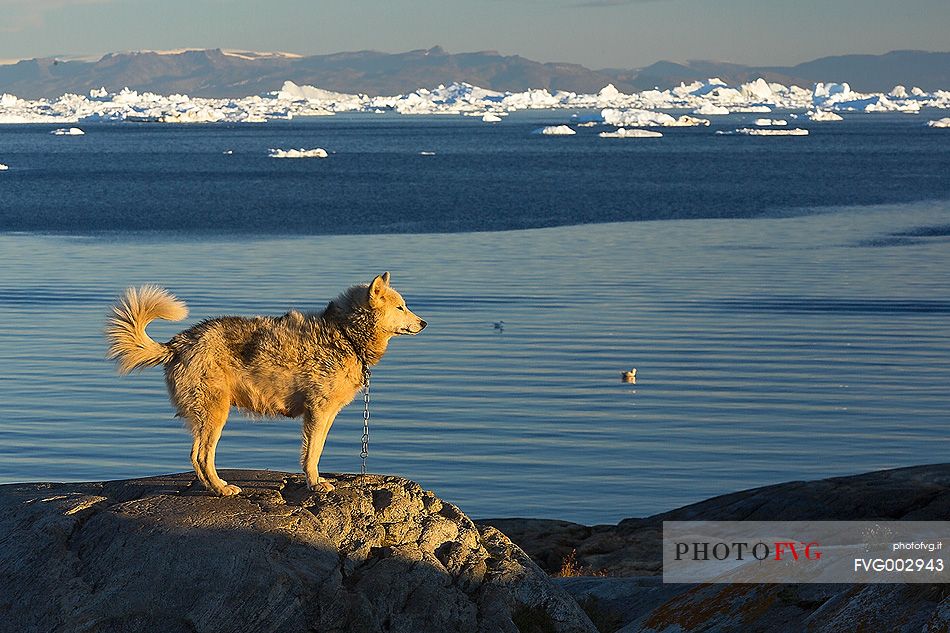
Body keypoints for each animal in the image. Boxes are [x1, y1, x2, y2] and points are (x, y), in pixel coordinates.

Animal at [107, 274, 428, 496]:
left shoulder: (326, 415)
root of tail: (179, 343)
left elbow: (315, 450)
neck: (345, 335)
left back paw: (215, 486)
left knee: (198, 458)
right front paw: (315, 484)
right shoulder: (318, 412)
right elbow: (313, 453)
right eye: (401, 307)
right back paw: (221, 489)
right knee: (200, 456)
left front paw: (316, 480)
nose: (424, 323)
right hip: (215, 414)